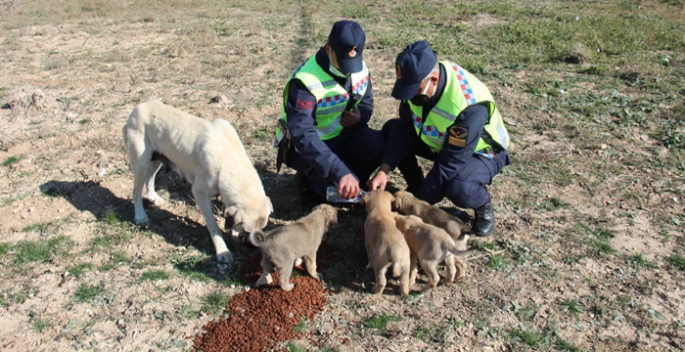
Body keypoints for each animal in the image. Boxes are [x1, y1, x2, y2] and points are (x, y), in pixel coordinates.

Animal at [123, 99, 272, 264]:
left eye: (262, 228)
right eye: (247, 231)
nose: (254, 246)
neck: (229, 158)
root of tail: (137, 108)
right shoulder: (199, 192)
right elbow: (213, 226)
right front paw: (222, 250)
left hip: (158, 159)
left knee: (150, 179)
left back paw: (153, 198)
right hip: (141, 164)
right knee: (136, 191)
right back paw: (140, 216)